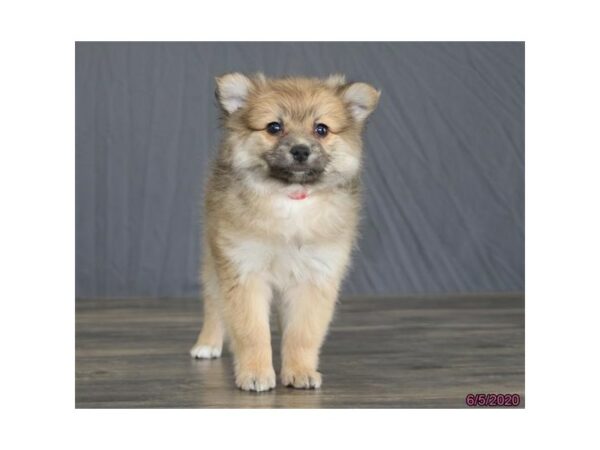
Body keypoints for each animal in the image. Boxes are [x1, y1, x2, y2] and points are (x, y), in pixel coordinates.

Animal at [192, 73, 380, 390]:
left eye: (321, 129)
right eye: (274, 127)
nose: (300, 150)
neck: (291, 198)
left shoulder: (315, 276)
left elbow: (303, 333)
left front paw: (300, 370)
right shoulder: (244, 269)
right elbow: (251, 332)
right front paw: (255, 373)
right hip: (212, 259)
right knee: (214, 304)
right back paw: (207, 343)